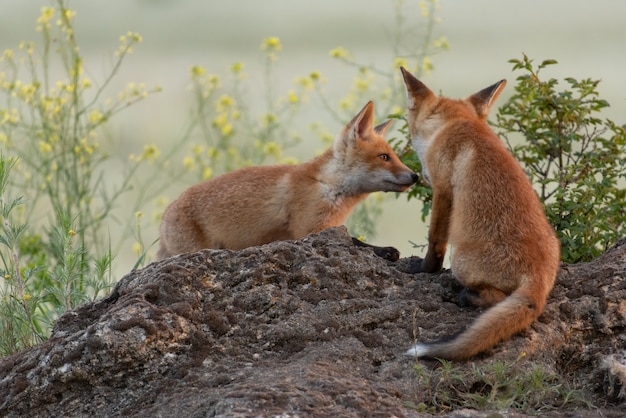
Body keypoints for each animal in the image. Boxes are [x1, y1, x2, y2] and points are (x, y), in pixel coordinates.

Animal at [158, 99, 416, 260]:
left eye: (393, 156)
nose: (415, 176)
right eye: (384, 157)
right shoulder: (310, 230)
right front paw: (385, 250)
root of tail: (167, 212)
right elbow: (355, 241)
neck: (327, 185)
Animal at [400, 67, 560, 360]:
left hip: (460, 261)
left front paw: (424, 270)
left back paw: (465, 296)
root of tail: (539, 280)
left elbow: (435, 240)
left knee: (496, 299)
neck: (456, 124)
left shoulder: (443, 190)